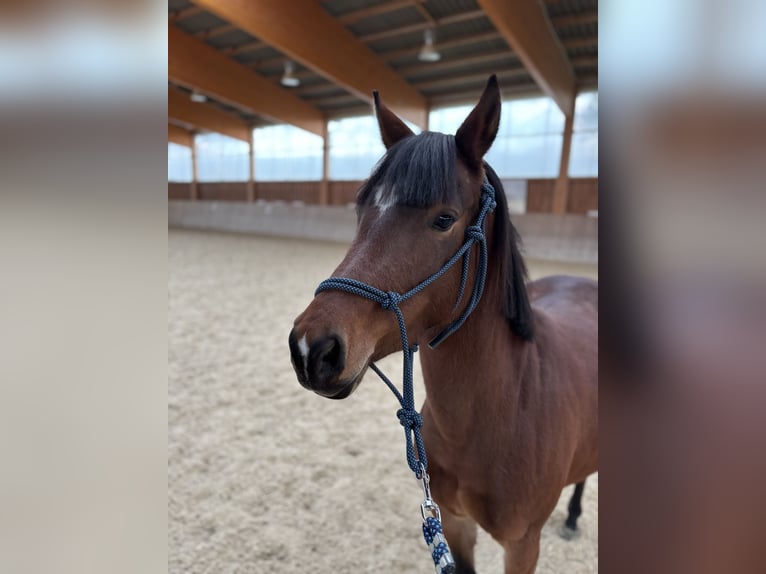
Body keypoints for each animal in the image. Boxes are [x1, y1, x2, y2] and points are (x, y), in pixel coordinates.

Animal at [288, 75, 598, 574]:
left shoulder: (523, 545)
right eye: (362, 212)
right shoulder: (453, 524)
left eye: (444, 219)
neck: (507, 410)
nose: (311, 348)